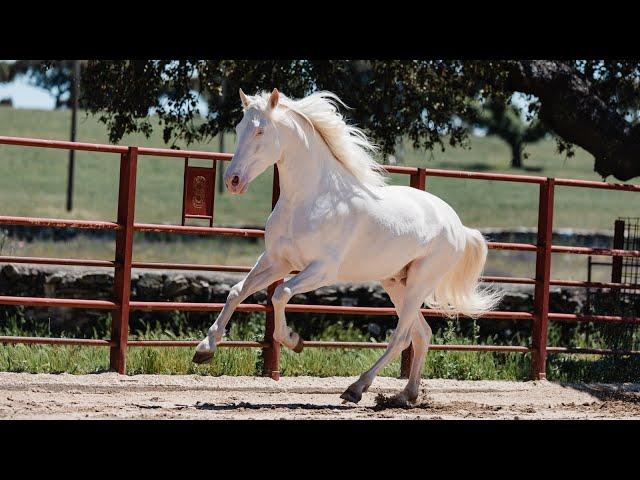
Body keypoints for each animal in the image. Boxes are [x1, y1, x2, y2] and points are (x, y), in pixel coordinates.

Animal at [192, 87, 502, 404]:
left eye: (260, 131)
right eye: (239, 128)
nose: (232, 180)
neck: (309, 200)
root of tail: (458, 226)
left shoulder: (321, 271)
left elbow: (281, 294)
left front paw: (293, 340)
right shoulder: (277, 261)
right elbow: (236, 292)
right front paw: (205, 349)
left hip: (419, 282)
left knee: (401, 336)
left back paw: (357, 388)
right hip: (396, 283)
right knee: (422, 334)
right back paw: (406, 394)